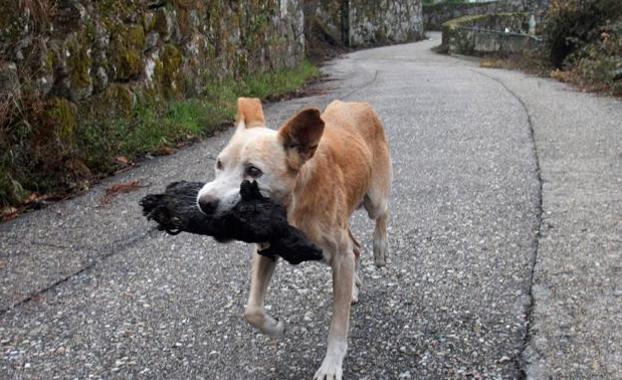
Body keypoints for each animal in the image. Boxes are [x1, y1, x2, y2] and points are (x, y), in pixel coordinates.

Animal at [197, 98, 392, 380]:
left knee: (381, 214)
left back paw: (380, 248)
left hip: (374, 198)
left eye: (253, 171)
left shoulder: (339, 255)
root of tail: (355, 103)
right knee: (355, 249)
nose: (204, 203)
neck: (294, 203)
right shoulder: (266, 249)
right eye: (219, 164)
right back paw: (353, 288)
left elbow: (338, 325)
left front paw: (331, 365)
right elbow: (252, 311)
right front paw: (275, 327)